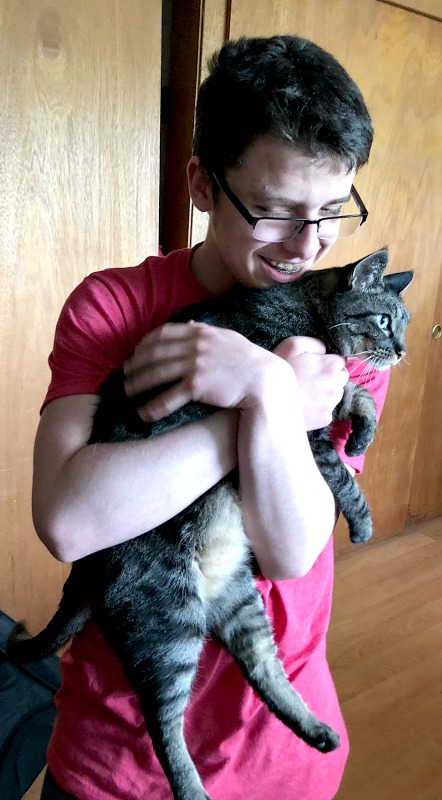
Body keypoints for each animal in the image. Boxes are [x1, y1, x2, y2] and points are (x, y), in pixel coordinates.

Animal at [9, 247, 410, 796]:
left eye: (405, 323)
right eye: (385, 320)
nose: (403, 350)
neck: (309, 311)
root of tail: (83, 573)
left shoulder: (326, 402)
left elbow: (357, 395)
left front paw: (363, 434)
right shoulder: (306, 426)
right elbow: (344, 477)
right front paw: (363, 522)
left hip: (239, 605)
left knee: (262, 669)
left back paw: (318, 731)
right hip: (167, 629)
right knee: (163, 725)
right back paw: (194, 788)